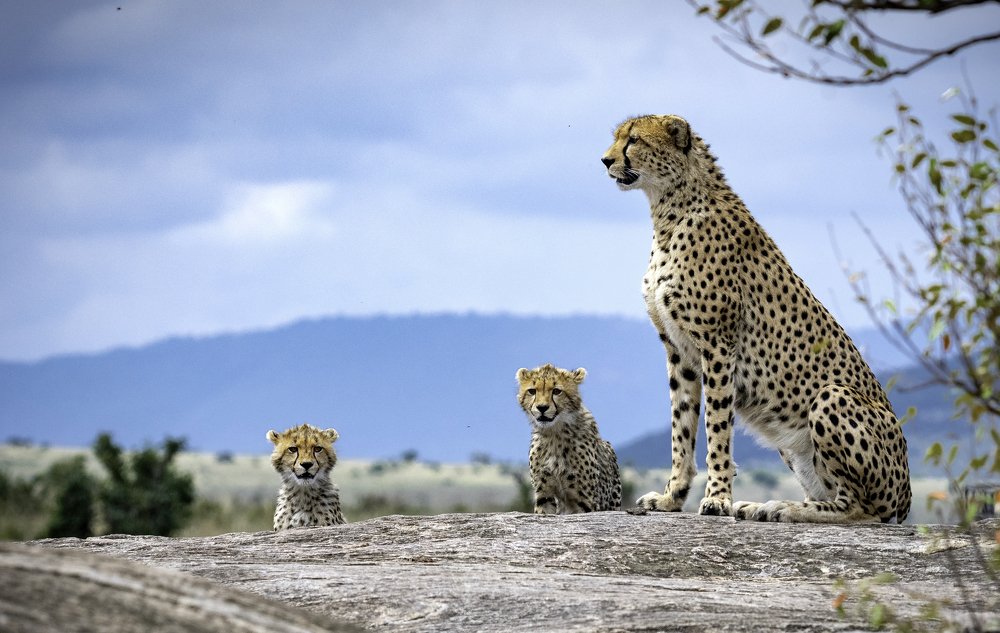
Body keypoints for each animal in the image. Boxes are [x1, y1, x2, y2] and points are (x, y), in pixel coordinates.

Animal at [516, 363, 622, 514]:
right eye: (532, 391)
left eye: (556, 391)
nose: (542, 407)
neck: (554, 433)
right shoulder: (544, 493)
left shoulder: (585, 499)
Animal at [601, 114, 911, 523]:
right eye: (617, 138)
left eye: (634, 140)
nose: (605, 160)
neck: (671, 210)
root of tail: (906, 496)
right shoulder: (678, 353)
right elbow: (681, 429)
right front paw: (672, 498)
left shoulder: (717, 345)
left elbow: (717, 428)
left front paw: (717, 498)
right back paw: (765, 506)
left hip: (832, 396)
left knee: (859, 508)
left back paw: (782, 507)